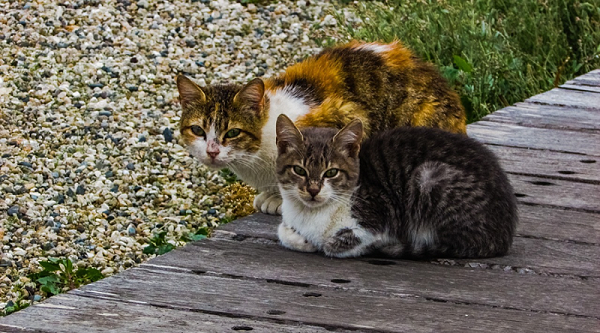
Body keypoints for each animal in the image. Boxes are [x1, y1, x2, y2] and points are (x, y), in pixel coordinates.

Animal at [274, 115, 516, 260]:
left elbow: (334, 244)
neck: (309, 215)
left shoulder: (376, 216)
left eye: (331, 172)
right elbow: (283, 232)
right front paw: (301, 239)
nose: (313, 190)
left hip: (429, 176)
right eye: (299, 170)